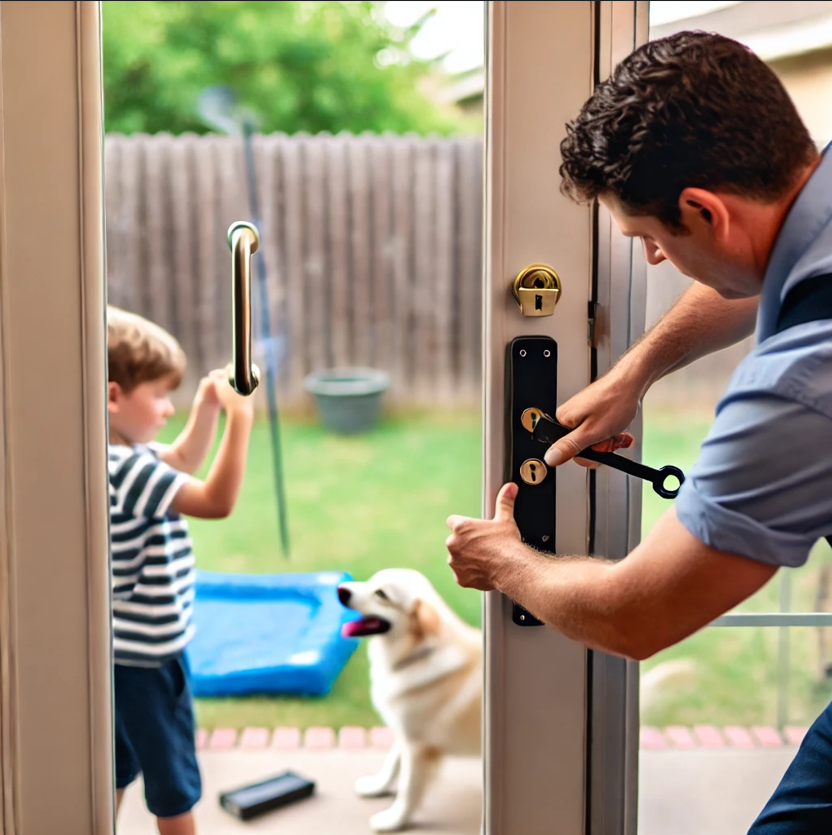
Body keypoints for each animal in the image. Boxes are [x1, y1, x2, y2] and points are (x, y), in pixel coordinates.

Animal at [338, 568, 480, 828]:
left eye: (381, 594)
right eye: (371, 581)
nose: (340, 589)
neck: (415, 655)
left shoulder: (417, 746)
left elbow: (408, 788)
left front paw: (394, 821)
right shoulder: (406, 732)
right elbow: (392, 762)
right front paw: (377, 787)